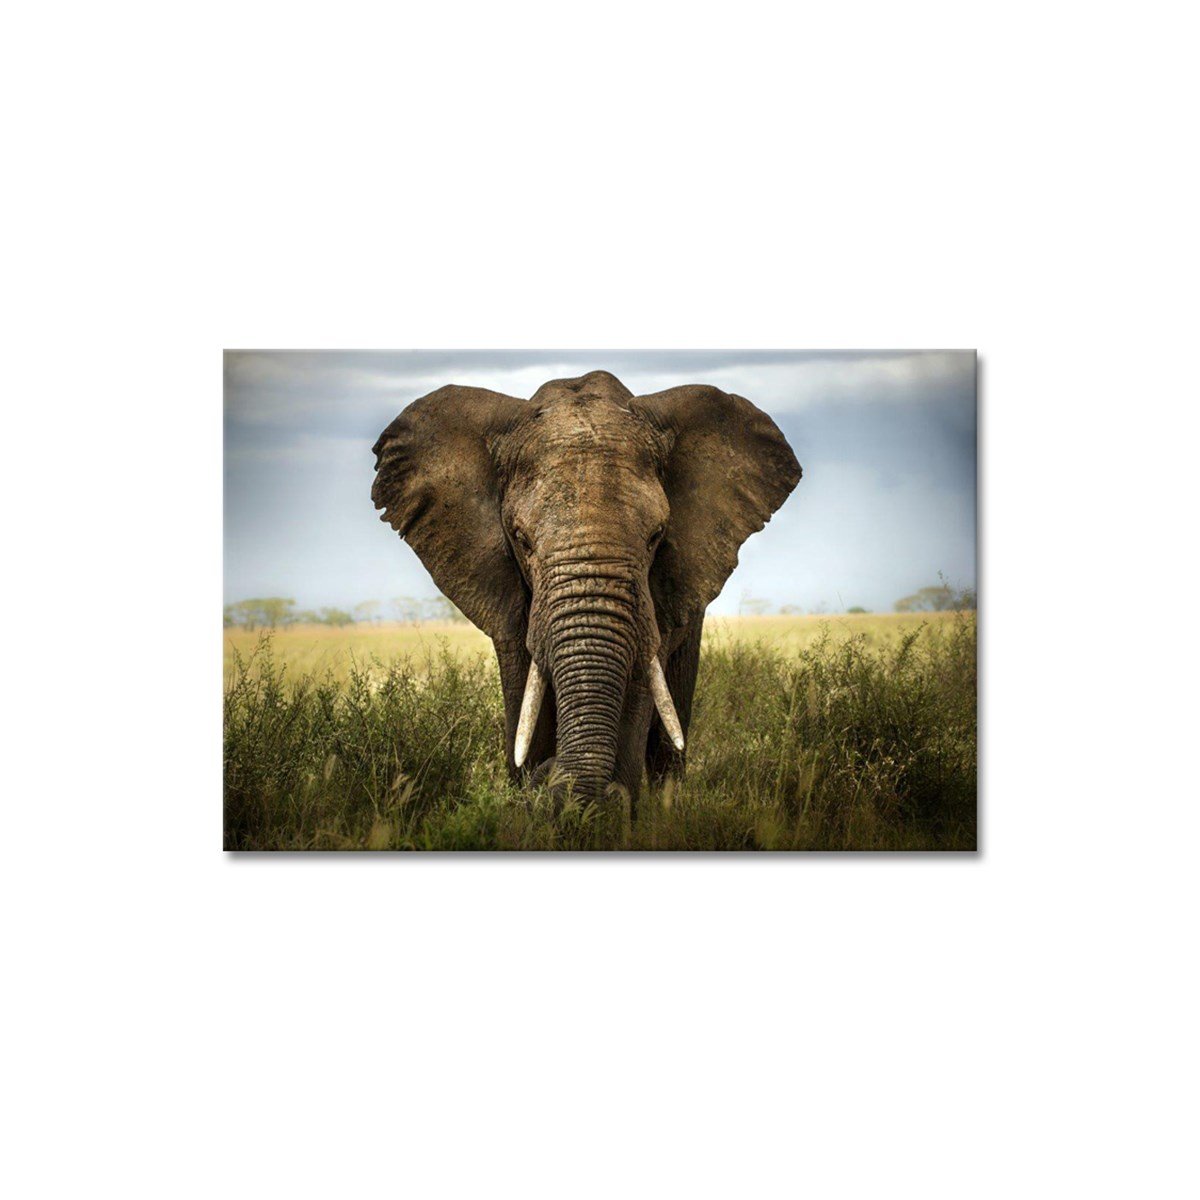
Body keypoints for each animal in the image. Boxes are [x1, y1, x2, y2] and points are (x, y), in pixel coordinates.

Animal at [371, 369, 801, 804]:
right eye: (521, 540)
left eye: (656, 536)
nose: (550, 776)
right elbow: (524, 693)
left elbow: (640, 684)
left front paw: (609, 807)